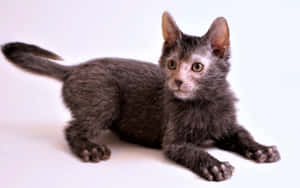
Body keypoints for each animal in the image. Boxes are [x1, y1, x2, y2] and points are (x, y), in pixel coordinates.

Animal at [1, 11, 280, 181]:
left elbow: (243, 135)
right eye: (171, 64)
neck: (204, 103)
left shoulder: (228, 124)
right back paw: (90, 148)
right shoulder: (174, 141)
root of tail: (75, 68)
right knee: (72, 129)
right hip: (106, 99)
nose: (177, 81)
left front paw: (261, 149)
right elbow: (194, 151)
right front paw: (215, 164)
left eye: (197, 67)